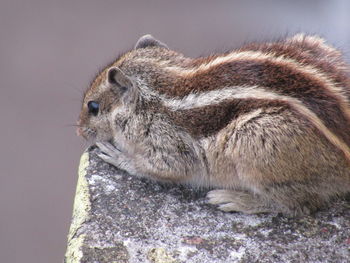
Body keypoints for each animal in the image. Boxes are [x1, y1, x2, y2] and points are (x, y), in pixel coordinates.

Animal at [77, 33, 350, 217]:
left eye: (93, 107)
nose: (79, 131)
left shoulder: (168, 145)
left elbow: (156, 167)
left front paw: (117, 155)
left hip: (253, 140)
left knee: (300, 205)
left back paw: (233, 199)